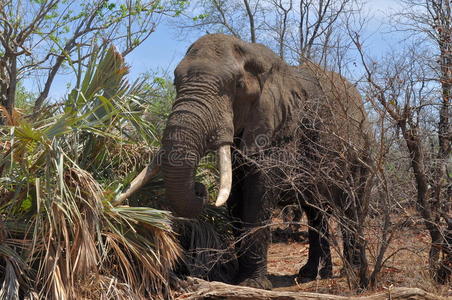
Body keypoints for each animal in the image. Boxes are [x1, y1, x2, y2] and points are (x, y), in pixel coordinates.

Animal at [117, 34, 374, 290]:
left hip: (362, 153)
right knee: (315, 212)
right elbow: (234, 198)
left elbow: (257, 192)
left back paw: (352, 273)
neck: (255, 54)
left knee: (351, 207)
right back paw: (311, 275)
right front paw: (235, 280)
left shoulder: (281, 128)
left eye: (237, 86)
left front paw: (253, 284)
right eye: (176, 83)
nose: (200, 189)